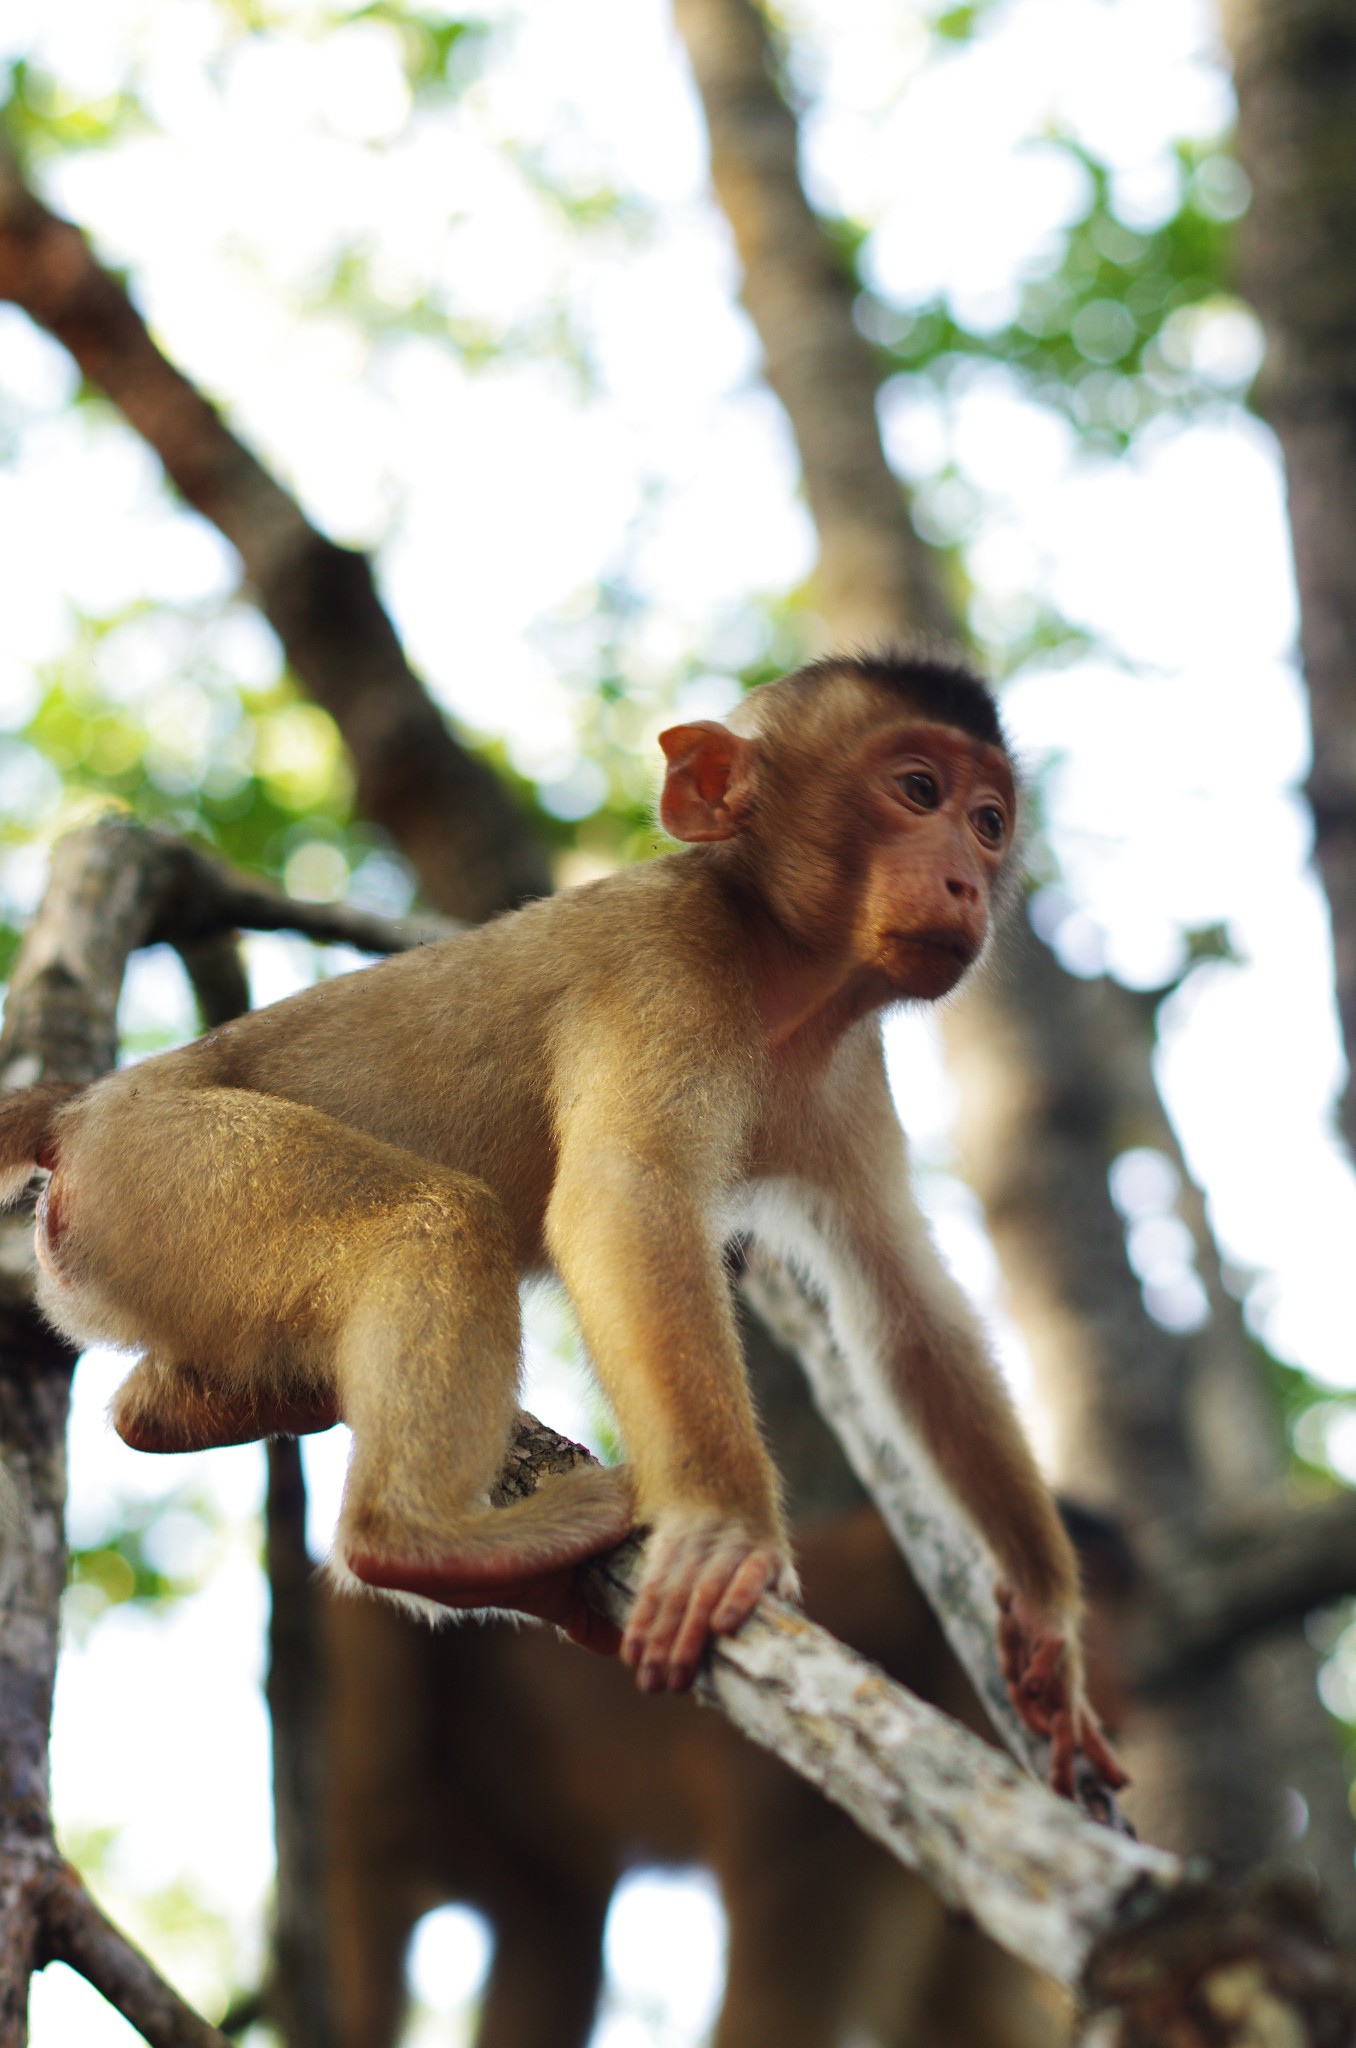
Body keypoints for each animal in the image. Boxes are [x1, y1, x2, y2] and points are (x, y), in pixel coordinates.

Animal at [0, 647, 1122, 1785]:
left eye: (989, 821)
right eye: (918, 791)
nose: (967, 878)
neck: (775, 969)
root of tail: (85, 1108)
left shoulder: (846, 1069)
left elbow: (903, 1302)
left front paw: (1047, 1632)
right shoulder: (669, 966)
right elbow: (622, 1198)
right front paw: (725, 1527)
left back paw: (183, 1409)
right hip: (165, 1161)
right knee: (436, 1217)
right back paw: (418, 1537)